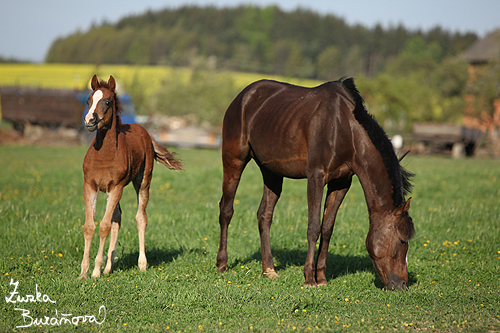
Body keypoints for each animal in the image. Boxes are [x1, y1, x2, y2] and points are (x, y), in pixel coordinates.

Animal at [80, 74, 184, 278]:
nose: (89, 121)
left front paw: (95, 271)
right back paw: (109, 267)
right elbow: (90, 226)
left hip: (142, 182)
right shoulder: (90, 186)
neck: (104, 155)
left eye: (107, 102)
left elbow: (103, 226)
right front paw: (83, 272)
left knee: (140, 218)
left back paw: (142, 264)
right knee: (117, 218)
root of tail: (145, 132)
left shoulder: (116, 187)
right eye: (88, 100)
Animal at [215, 77, 414, 288]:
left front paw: (322, 277)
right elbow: (313, 227)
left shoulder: (341, 183)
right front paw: (309, 279)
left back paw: (269, 270)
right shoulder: (316, 177)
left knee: (264, 215)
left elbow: (327, 229)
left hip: (272, 172)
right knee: (226, 210)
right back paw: (222, 264)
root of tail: (242, 96)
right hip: (234, 160)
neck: (344, 128)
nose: (402, 285)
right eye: (402, 240)